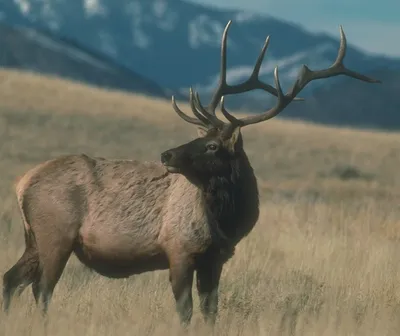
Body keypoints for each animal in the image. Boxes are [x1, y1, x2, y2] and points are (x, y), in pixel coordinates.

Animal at [2, 21, 378, 326]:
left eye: (211, 146)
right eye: (201, 139)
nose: (166, 154)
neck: (227, 222)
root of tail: (22, 183)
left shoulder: (216, 259)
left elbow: (211, 312)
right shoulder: (179, 248)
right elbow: (185, 313)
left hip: (34, 238)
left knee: (11, 280)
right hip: (55, 234)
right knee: (42, 290)